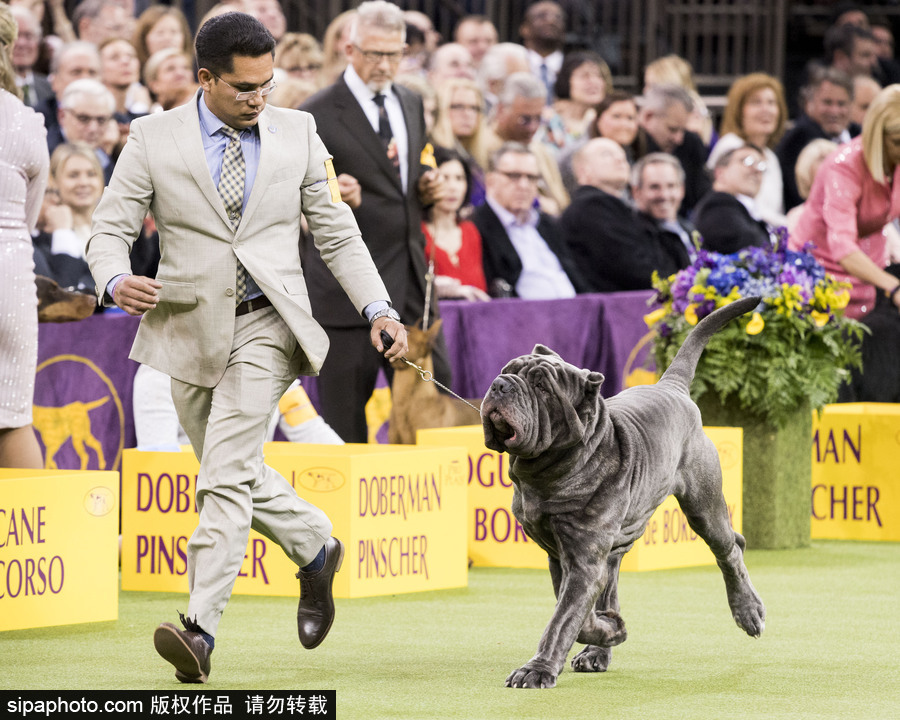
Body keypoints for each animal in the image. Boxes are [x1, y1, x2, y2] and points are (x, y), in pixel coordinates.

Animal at [486, 296, 768, 688]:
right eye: (506, 370)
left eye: (542, 387)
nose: (501, 384)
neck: (551, 470)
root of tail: (671, 387)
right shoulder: (564, 556)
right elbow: (575, 611)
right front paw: (608, 631)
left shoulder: (584, 559)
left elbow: (562, 619)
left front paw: (537, 669)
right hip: (622, 540)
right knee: (612, 586)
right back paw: (599, 649)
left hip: (704, 506)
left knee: (731, 548)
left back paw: (748, 611)